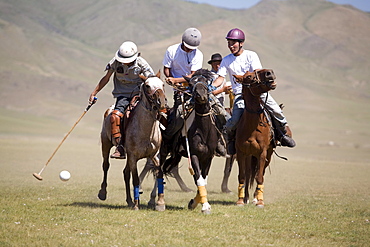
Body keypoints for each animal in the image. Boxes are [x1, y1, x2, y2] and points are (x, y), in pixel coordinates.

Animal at [98, 72, 168, 210]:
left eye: (162, 84)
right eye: (147, 86)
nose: (161, 102)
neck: (146, 131)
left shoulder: (153, 156)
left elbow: (160, 174)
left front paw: (160, 203)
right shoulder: (133, 157)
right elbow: (135, 179)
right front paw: (136, 205)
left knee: (125, 173)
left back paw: (129, 201)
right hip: (106, 144)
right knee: (106, 166)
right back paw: (103, 193)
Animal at [233, 68, 276, 207]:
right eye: (249, 77)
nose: (270, 73)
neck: (252, 127)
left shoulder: (262, 153)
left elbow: (259, 177)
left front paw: (260, 201)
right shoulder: (241, 153)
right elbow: (242, 176)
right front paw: (240, 200)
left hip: (267, 155)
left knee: (260, 173)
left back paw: (256, 198)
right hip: (249, 156)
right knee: (248, 174)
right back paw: (246, 197)